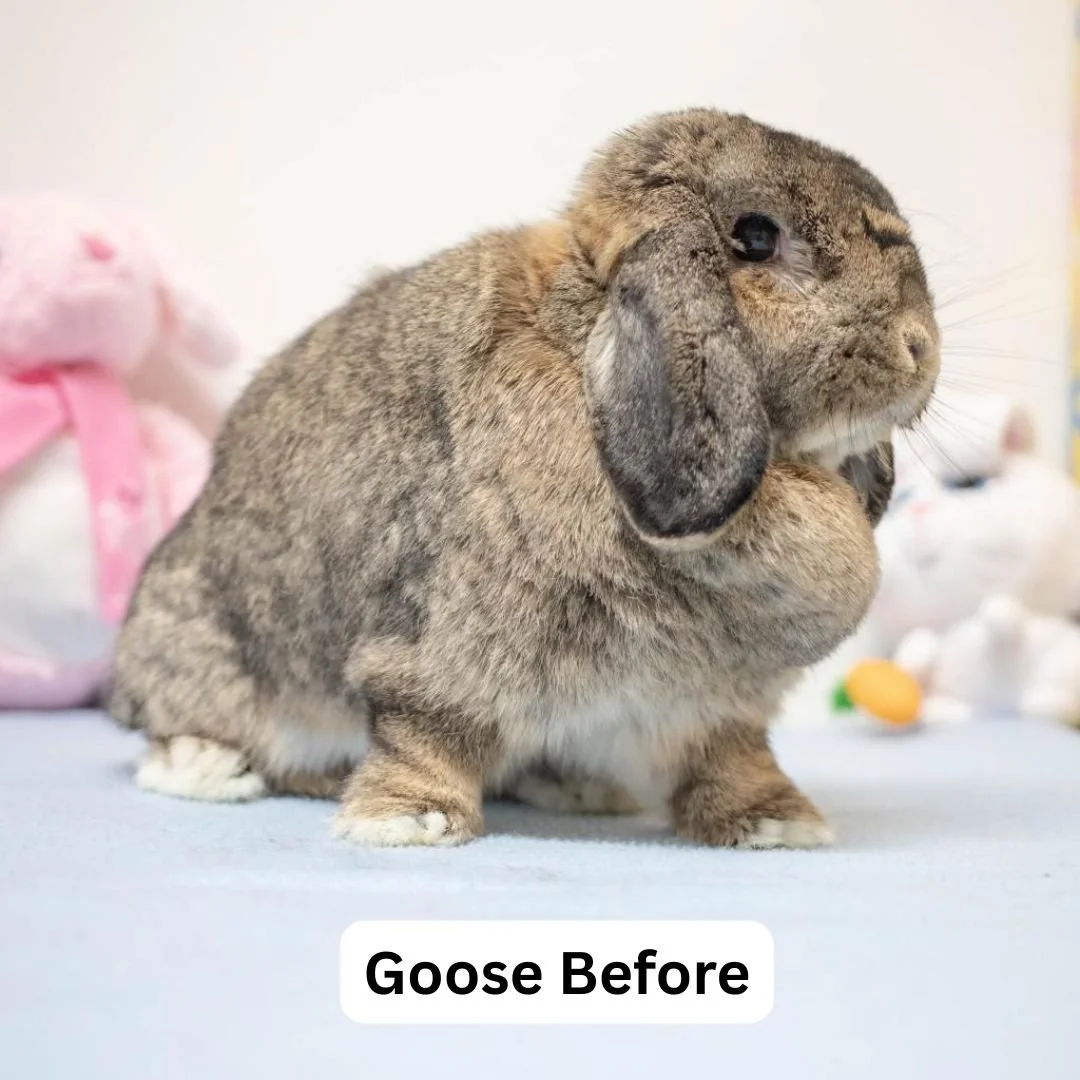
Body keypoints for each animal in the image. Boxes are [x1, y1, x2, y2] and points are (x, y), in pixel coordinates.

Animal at [108, 109, 939, 848]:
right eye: (756, 238)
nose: (920, 347)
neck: (578, 337)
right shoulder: (439, 655)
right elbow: (423, 733)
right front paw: (406, 822)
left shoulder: (719, 707)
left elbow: (732, 761)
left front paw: (776, 822)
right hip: (204, 641)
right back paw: (208, 767)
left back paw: (580, 786)